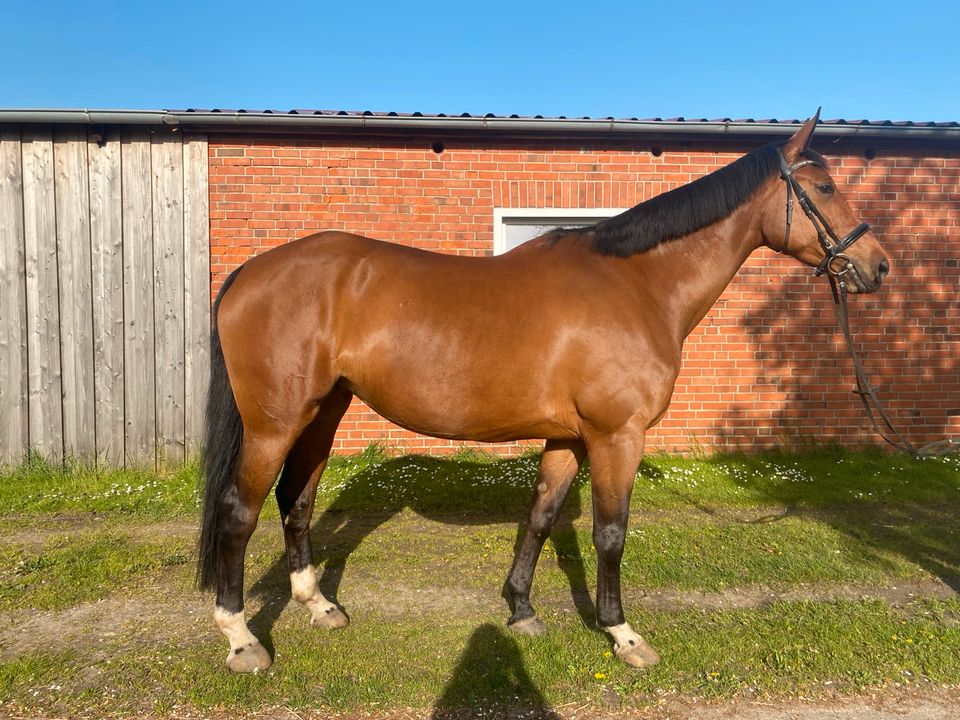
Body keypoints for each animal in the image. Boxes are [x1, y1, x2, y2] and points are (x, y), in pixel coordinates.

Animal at [197, 109, 892, 672]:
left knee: (297, 500)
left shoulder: (569, 440)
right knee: (239, 512)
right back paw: (241, 638)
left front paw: (521, 610)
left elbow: (538, 517)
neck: (639, 285)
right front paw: (622, 634)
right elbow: (611, 533)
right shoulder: (616, 437)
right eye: (825, 187)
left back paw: (319, 606)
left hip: (323, 413)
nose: (877, 266)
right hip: (274, 423)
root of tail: (252, 272)